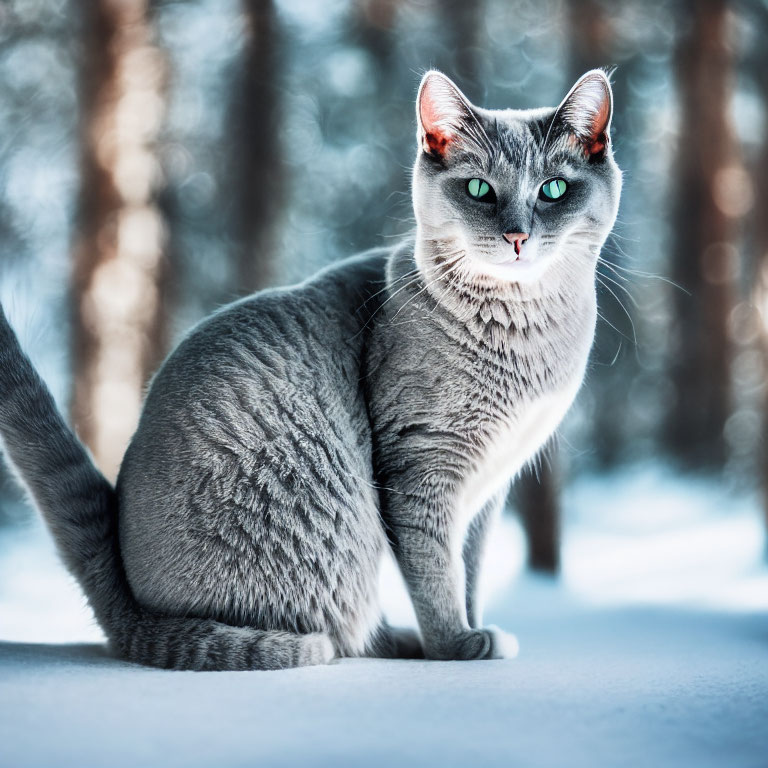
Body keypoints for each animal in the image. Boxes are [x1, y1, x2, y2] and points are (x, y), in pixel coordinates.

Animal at [0, 69, 620, 668]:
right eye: (479, 190)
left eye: (554, 189)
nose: (517, 235)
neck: (524, 340)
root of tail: (126, 610)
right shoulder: (422, 466)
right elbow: (434, 573)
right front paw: (457, 644)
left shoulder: (488, 490)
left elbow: (467, 572)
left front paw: (471, 627)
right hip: (331, 546)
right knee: (340, 632)